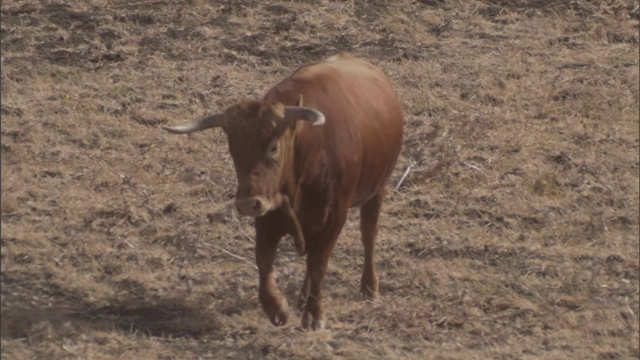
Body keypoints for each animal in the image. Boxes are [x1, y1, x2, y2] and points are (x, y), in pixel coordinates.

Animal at [165, 52, 404, 330]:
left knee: (368, 235)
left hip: (377, 190)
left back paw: (369, 287)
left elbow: (318, 263)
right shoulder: (268, 211)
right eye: (233, 149)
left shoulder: (335, 215)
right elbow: (264, 259)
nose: (246, 204)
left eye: (273, 147)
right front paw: (276, 306)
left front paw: (314, 314)